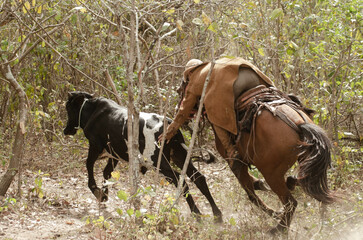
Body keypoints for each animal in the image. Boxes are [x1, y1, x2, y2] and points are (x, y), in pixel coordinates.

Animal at [63, 92, 222, 221]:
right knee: (198, 177)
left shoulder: (95, 146)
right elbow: (106, 172)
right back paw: (217, 215)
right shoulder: (114, 153)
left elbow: (89, 165)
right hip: (179, 156)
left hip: (158, 162)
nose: (66, 130)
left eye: (68, 108)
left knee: (181, 181)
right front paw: (104, 195)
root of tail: (170, 124)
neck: (92, 111)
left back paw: (197, 214)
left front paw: (96, 190)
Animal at [213, 86, 336, 234]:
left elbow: (251, 194)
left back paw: (278, 229)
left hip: (272, 174)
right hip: (304, 159)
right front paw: (259, 184)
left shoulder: (237, 163)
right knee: (304, 180)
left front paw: (273, 211)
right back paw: (290, 184)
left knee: (291, 202)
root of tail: (299, 125)